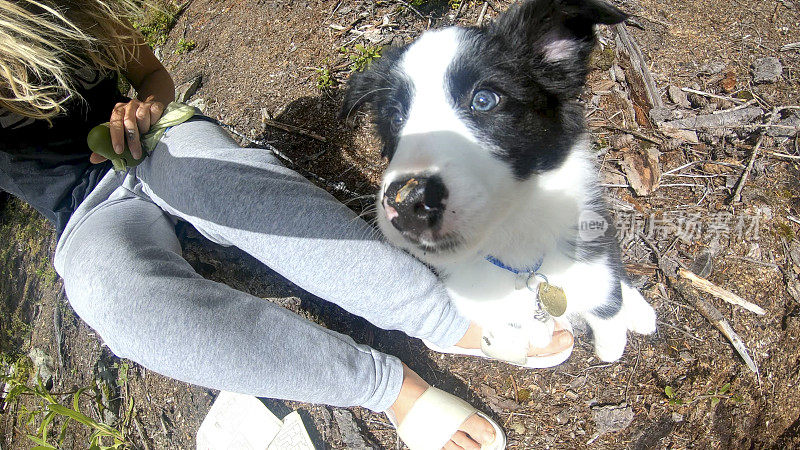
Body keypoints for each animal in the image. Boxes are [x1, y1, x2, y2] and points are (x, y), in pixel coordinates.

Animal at [342, 0, 656, 360]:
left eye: (484, 100)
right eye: (395, 118)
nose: (407, 202)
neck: (515, 251)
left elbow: (607, 319)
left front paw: (610, 343)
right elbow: (510, 329)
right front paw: (524, 338)